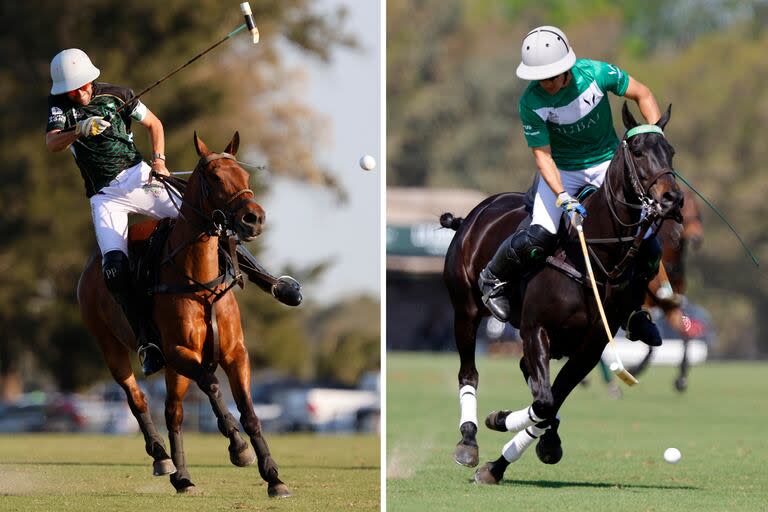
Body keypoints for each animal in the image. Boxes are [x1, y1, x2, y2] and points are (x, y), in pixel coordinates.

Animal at [79, 131, 292, 496]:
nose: (254, 218)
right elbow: (213, 386)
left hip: (173, 369)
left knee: (173, 412)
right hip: (112, 347)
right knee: (138, 399)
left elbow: (249, 410)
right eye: (215, 177)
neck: (201, 281)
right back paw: (162, 457)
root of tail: (90, 266)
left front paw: (273, 476)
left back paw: (182, 476)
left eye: (245, 176)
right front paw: (239, 447)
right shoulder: (179, 351)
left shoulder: (235, 352)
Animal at [440, 104, 680, 484]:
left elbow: (551, 399)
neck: (595, 253)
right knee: (469, 373)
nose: (673, 199)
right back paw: (468, 439)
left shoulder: (591, 345)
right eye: (639, 151)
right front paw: (499, 422)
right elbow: (544, 402)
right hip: (465, 309)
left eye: (670, 152)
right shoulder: (536, 329)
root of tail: (473, 216)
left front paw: (509, 456)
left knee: (535, 381)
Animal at [632, 186, 704, 390]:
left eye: (698, 211)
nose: (696, 239)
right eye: (684, 208)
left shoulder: (672, 307)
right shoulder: (645, 305)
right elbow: (650, 344)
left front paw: (681, 379)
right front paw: (635, 369)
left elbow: (686, 336)